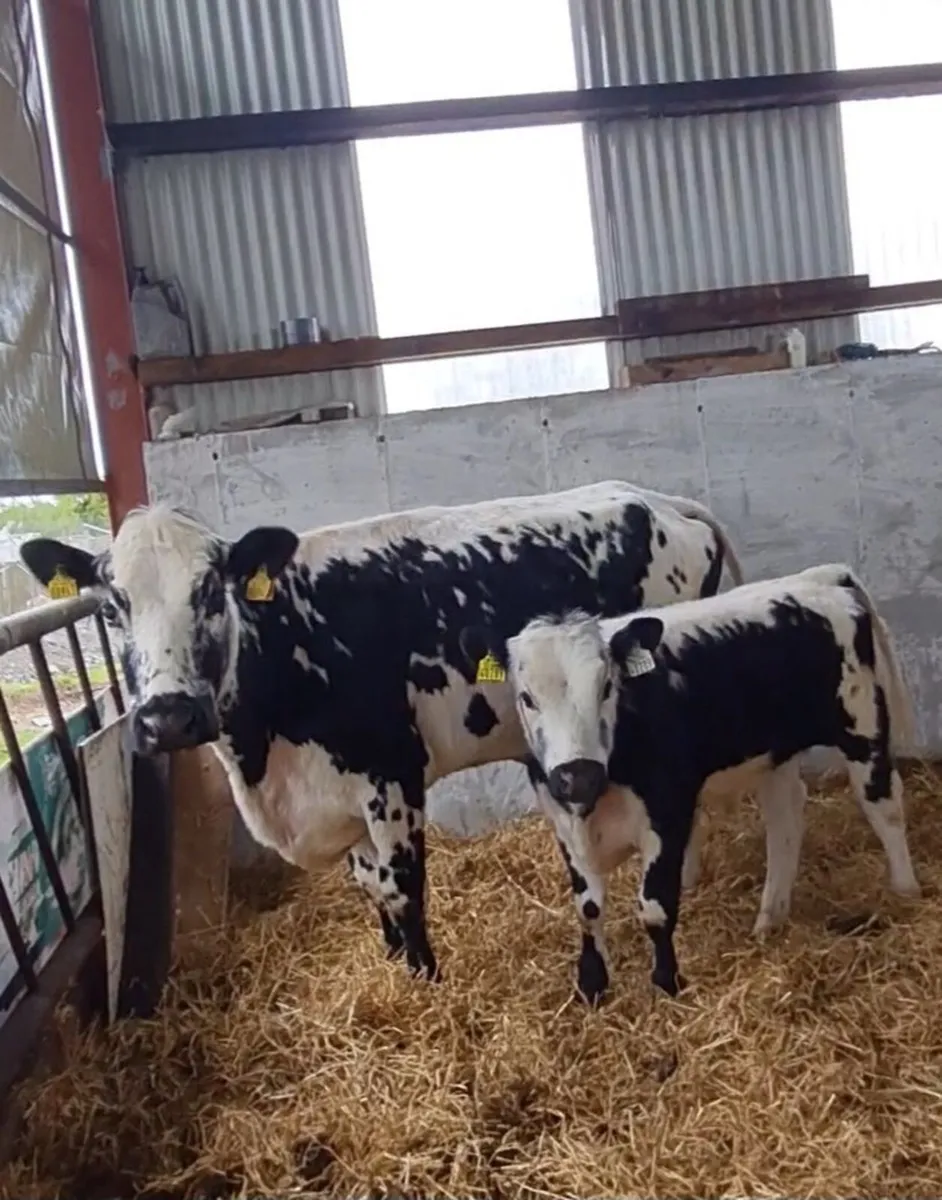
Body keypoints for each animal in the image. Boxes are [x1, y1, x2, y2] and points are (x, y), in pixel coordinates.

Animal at [19, 481, 744, 985]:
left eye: (209, 592)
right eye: (110, 607)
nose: (168, 717)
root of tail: (658, 501)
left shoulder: (390, 775)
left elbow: (402, 887)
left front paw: (424, 977)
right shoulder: (337, 796)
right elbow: (369, 885)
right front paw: (393, 959)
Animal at [465, 563, 921, 1004]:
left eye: (607, 687)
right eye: (526, 698)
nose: (579, 776)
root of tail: (822, 576)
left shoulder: (668, 812)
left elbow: (655, 906)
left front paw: (667, 984)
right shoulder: (562, 820)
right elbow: (588, 907)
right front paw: (592, 985)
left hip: (863, 724)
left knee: (883, 805)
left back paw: (905, 892)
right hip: (776, 753)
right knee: (786, 819)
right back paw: (769, 919)